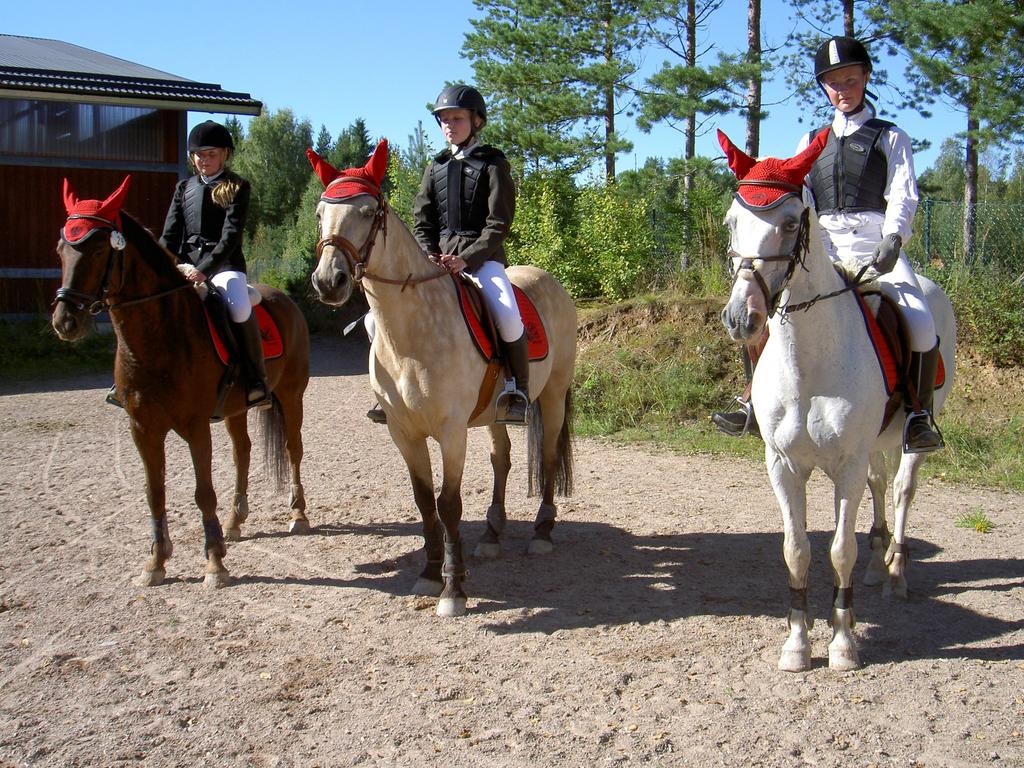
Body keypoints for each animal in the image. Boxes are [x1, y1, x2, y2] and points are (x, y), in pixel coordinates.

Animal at [52, 179, 307, 589]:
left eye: (97, 249)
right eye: (61, 249)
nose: (65, 321)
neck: (159, 337)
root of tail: (283, 297)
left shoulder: (195, 426)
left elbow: (203, 493)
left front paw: (215, 564)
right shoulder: (143, 427)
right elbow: (154, 492)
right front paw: (156, 562)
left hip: (292, 394)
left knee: (292, 448)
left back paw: (298, 515)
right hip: (237, 408)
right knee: (243, 453)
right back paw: (235, 521)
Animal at [303, 141, 577, 618]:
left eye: (368, 211)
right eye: (321, 213)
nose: (328, 281)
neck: (410, 335)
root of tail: (549, 280)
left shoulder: (451, 431)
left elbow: (448, 504)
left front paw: (453, 588)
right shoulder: (403, 432)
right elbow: (423, 500)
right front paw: (430, 573)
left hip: (554, 394)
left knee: (545, 458)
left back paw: (541, 533)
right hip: (493, 413)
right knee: (502, 459)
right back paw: (492, 534)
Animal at [716, 132, 954, 671]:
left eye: (789, 223)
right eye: (732, 221)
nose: (741, 317)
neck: (810, 362)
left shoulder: (845, 463)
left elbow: (840, 550)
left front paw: (843, 642)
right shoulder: (783, 464)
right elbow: (797, 550)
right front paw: (797, 643)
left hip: (912, 432)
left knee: (902, 490)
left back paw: (895, 574)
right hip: (872, 444)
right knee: (880, 484)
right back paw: (878, 563)